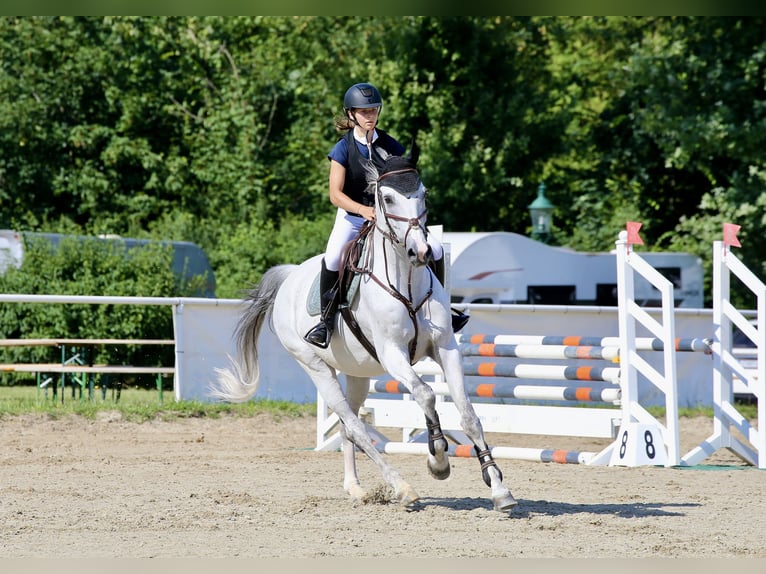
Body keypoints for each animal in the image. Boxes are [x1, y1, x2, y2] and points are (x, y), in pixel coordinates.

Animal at [210, 143, 520, 512]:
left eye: (424, 193)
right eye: (386, 198)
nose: (421, 252)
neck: (406, 280)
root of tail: (290, 277)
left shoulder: (445, 347)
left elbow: (468, 413)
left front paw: (499, 488)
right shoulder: (392, 354)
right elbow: (426, 394)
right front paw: (438, 460)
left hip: (356, 373)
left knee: (350, 426)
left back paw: (356, 489)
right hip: (315, 366)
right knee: (355, 426)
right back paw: (403, 489)